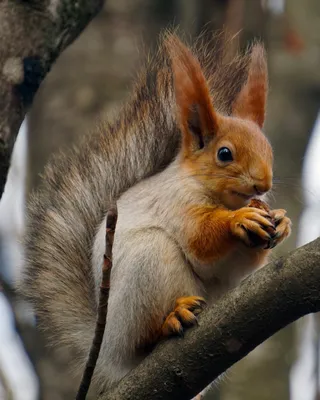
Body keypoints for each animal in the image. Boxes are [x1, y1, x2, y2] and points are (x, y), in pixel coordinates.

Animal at [19, 33, 290, 390]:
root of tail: (109, 351)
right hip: (145, 270)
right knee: (143, 339)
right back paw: (171, 319)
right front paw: (239, 220)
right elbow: (201, 242)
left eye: (269, 150)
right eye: (224, 154)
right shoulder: (174, 202)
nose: (264, 183)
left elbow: (235, 268)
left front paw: (281, 221)